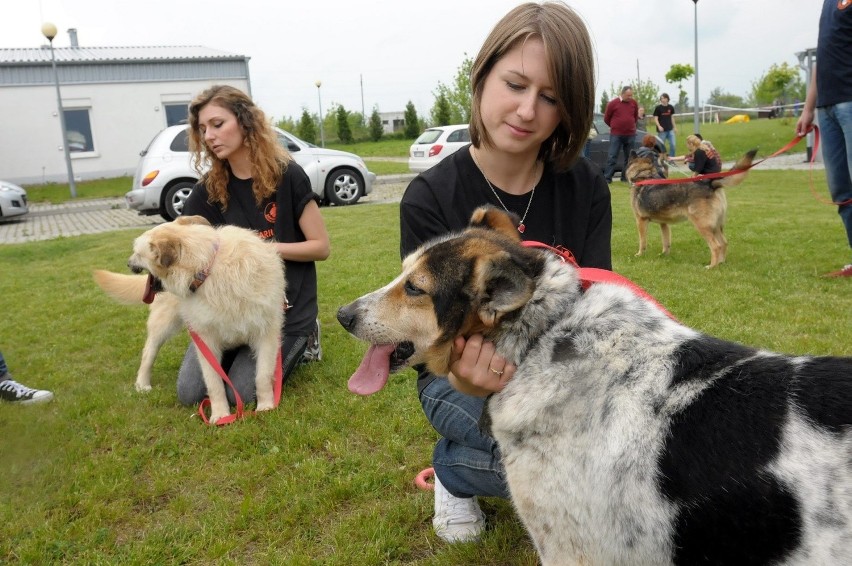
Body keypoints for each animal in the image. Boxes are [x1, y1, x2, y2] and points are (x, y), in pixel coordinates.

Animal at [95, 217, 284, 426]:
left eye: (137, 252)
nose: (128, 263)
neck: (207, 269)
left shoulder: (266, 333)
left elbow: (263, 376)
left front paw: (266, 406)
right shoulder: (206, 341)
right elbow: (214, 383)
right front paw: (220, 415)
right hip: (163, 324)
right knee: (148, 353)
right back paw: (142, 384)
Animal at [624, 149, 760, 268]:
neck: (644, 175)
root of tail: (710, 183)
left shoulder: (641, 221)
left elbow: (642, 241)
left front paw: (639, 254)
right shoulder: (664, 223)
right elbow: (666, 242)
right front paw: (664, 255)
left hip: (702, 226)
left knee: (716, 246)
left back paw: (711, 266)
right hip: (716, 226)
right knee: (724, 243)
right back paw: (720, 263)